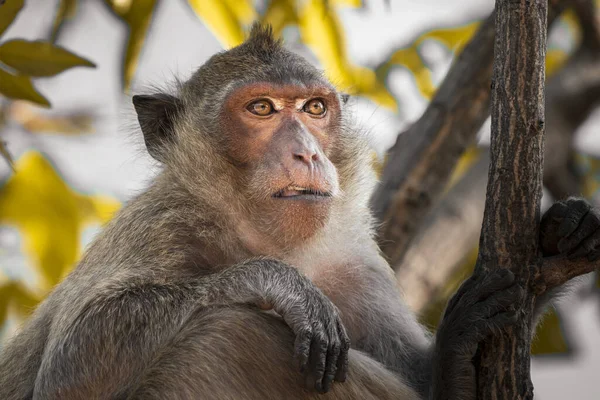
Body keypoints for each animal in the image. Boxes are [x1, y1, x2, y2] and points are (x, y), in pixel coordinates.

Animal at [0, 25, 596, 400]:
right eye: (261, 108)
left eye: (314, 108)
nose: (307, 152)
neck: (261, 238)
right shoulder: (163, 225)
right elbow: (71, 369)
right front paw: (282, 285)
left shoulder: (355, 265)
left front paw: (555, 246)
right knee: (227, 330)